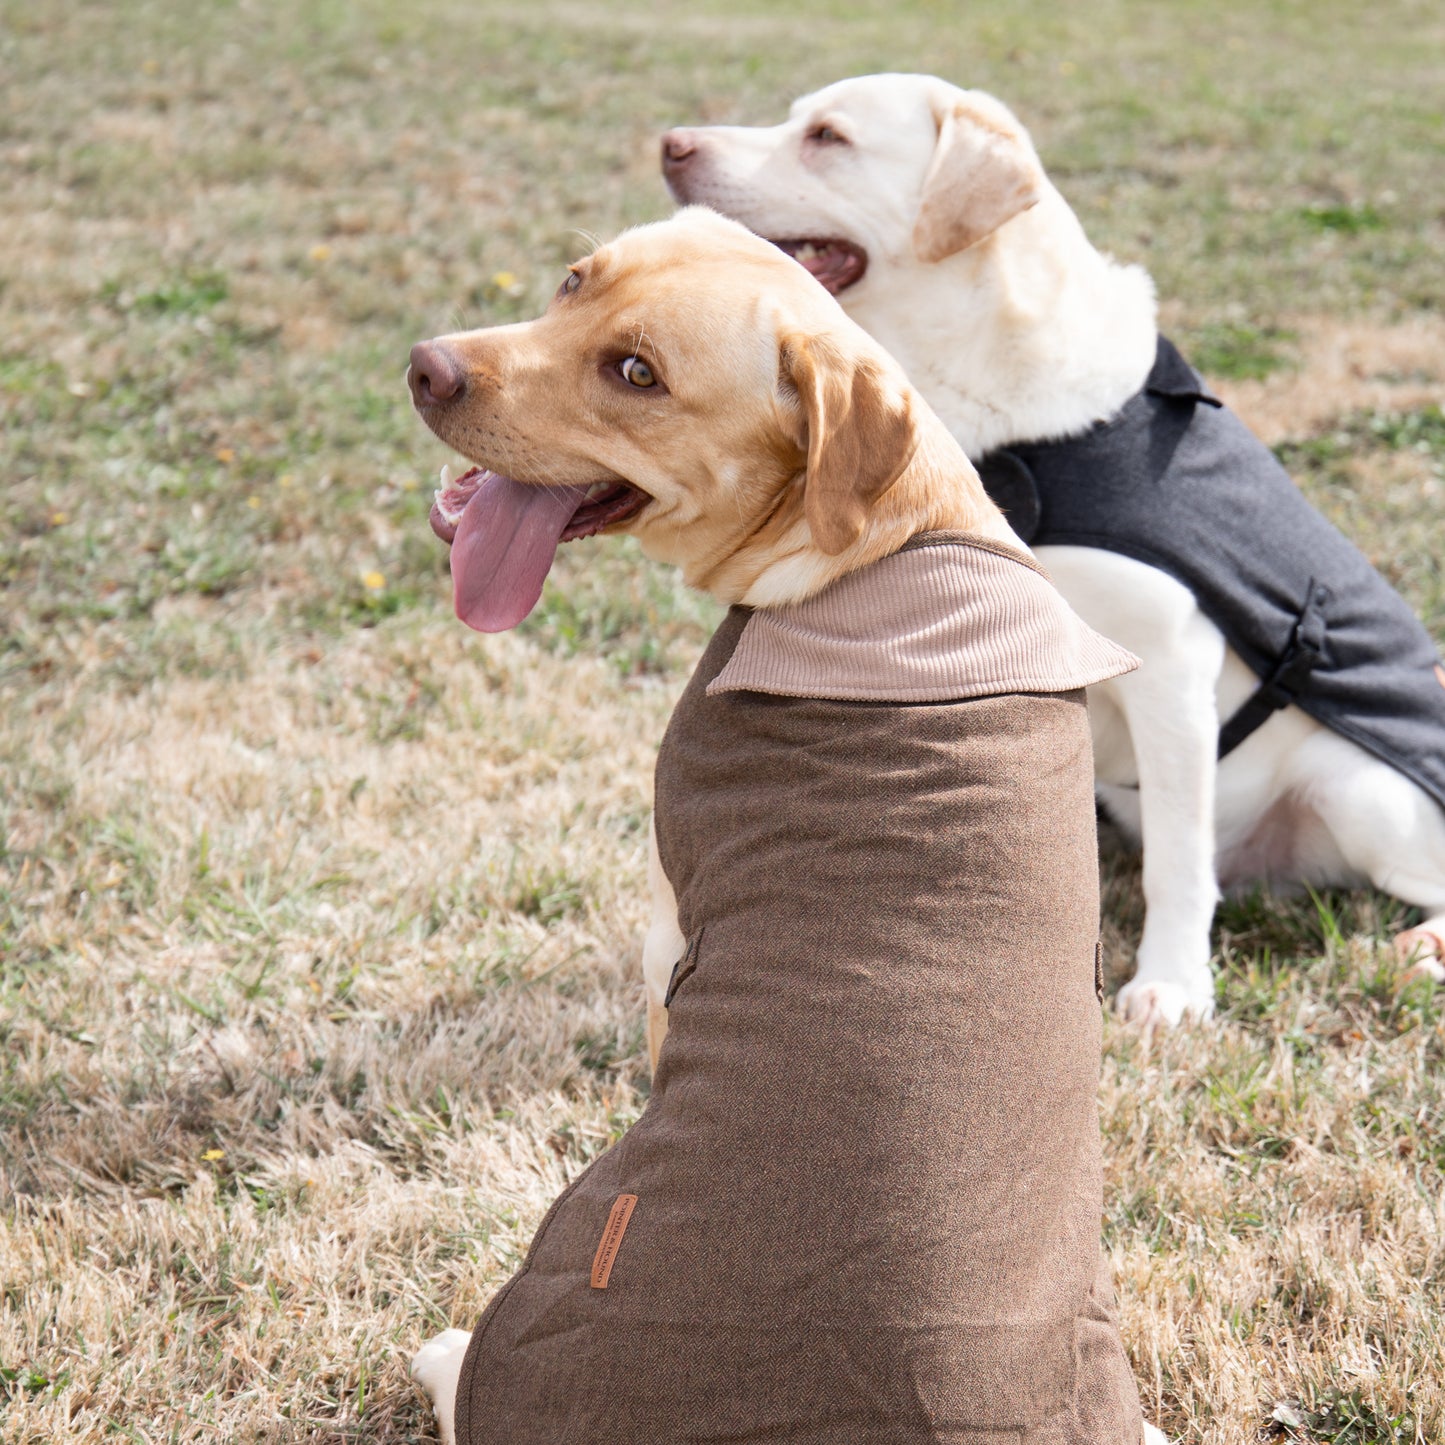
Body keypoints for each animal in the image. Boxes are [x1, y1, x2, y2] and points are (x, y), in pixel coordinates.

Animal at [664, 76, 1445, 1028]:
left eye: (827, 137)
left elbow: (1177, 861)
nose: (670, 145)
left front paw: (1171, 984)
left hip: (1360, 791)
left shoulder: (1171, 664)